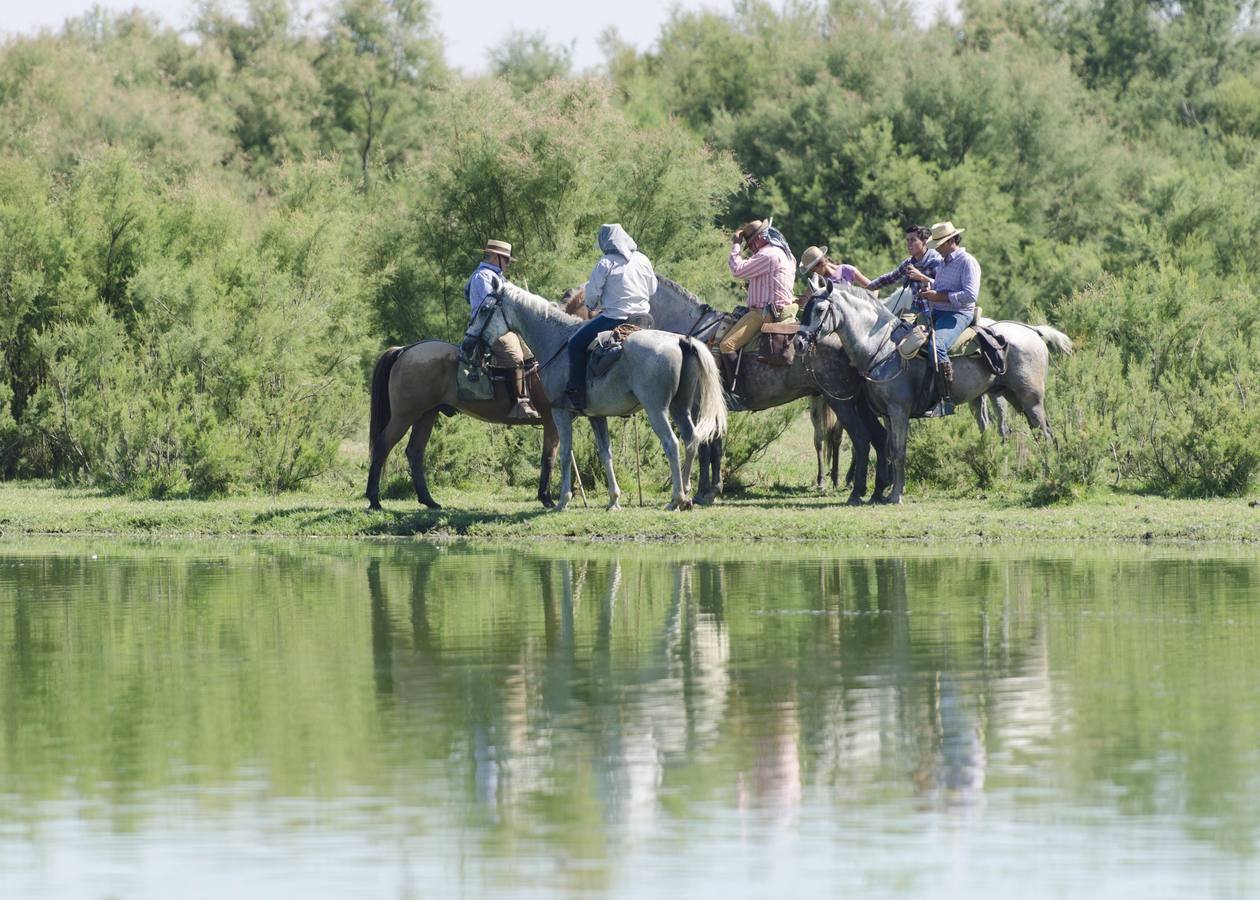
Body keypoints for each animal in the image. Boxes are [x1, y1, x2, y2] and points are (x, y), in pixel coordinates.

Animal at [463, 277, 725, 509]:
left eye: (484, 309)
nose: (467, 345)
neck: (557, 340)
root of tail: (682, 341)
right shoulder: (596, 416)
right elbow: (605, 453)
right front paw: (614, 500)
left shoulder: (559, 413)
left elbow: (564, 454)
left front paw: (563, 500)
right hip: (680, 407)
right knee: (692, 440)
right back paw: (687, 495)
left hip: (656, 409)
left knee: (672, 444)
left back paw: (676, 499)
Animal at [645, 277, 892, 504]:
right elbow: (716, 447)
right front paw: (713, 489)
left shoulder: (700, 407)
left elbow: (704, 447)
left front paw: (701, 493)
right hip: (857, 402)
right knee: (879, 436)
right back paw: (878, 490)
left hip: (841, 402)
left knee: (861, 439)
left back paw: (857, 492)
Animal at [801, 279, 1068, 501]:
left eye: (820, 309)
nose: (800, 342)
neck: (883, 348)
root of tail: (1033, 331)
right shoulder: (887, 414)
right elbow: (889, 448)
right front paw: (888, 490)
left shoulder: (899, 411)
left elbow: (898, 450)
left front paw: (895, 495)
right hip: (1011, 397)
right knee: (1038, 433)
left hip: (1030, 400)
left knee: (1044, 436)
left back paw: (1047, 478)